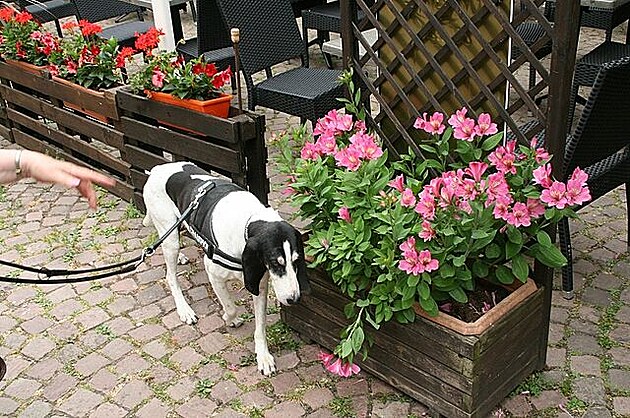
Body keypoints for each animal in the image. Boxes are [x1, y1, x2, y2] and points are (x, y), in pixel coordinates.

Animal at [144, 162, 312, 374]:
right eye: (276, 263)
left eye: (296, 261)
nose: (294, 299)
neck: (248, 220)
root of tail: (158, 168)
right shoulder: (214, 274)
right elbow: (230, 307)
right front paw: (229, 318)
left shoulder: (259, 285)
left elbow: (260, 327)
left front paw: (263, 356)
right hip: (171, 238)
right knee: (170, 275)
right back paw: (185, 310)